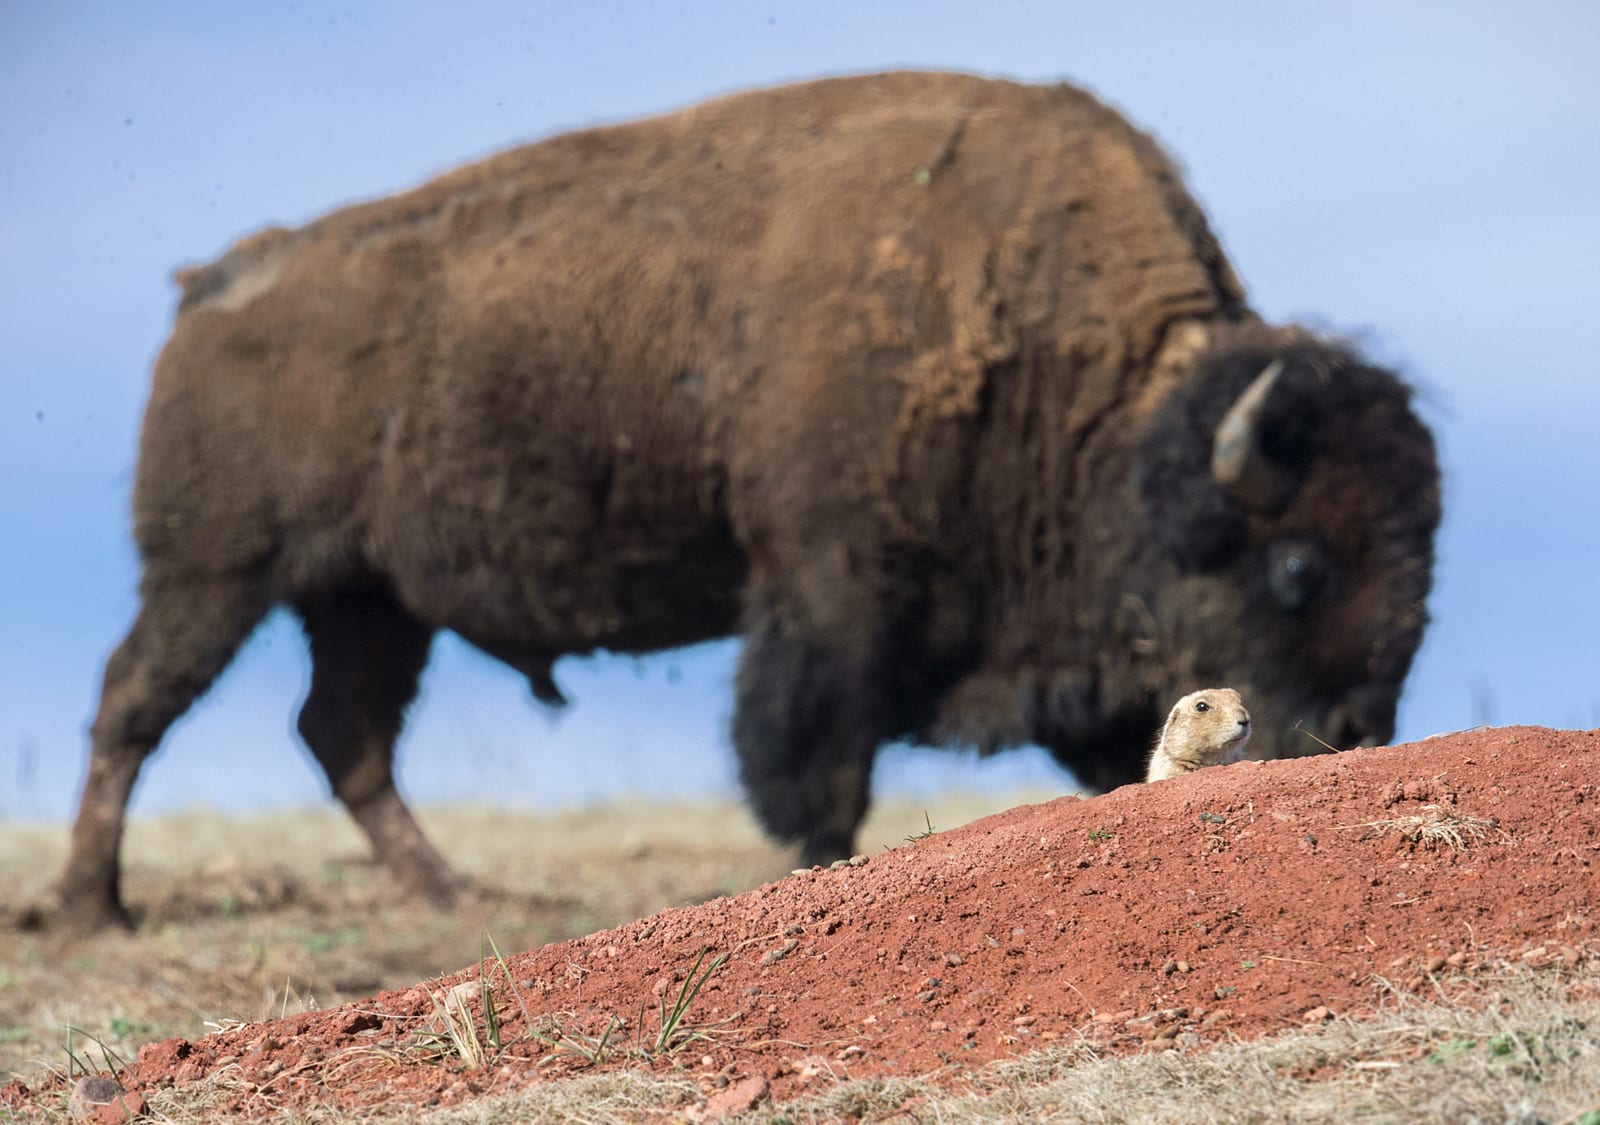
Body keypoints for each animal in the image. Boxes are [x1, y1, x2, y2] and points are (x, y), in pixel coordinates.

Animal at [53, 71, 1439, 928]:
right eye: (1297, 566)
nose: (1352, 730)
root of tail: (214, 284)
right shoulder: (826, 590)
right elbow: (815, 768)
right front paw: (824, 867)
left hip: (368, 599)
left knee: (342, 735)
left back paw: (456, 897)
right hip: (219, 572)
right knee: (138, 705)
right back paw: (89, 908)